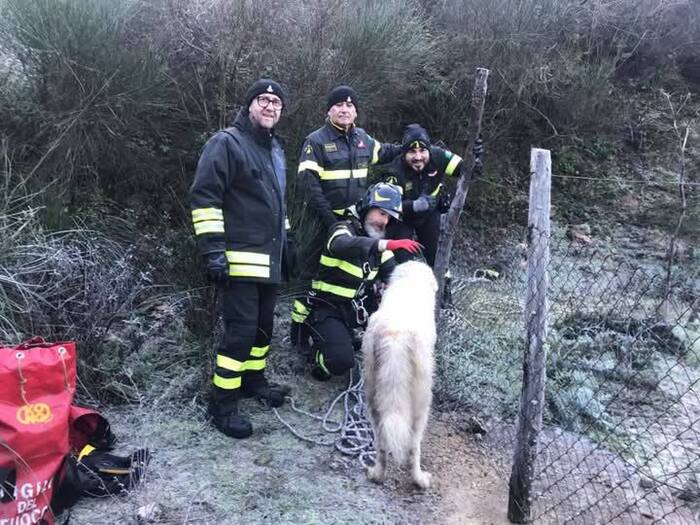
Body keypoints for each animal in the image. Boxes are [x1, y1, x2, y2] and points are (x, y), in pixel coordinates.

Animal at [364, 260, 434, 490]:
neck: (409, 282)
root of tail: (394, 337)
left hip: (372, 393)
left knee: (381, 443)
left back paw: (377, 475)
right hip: (422, 401)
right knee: (413, 446)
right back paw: (420, 480)